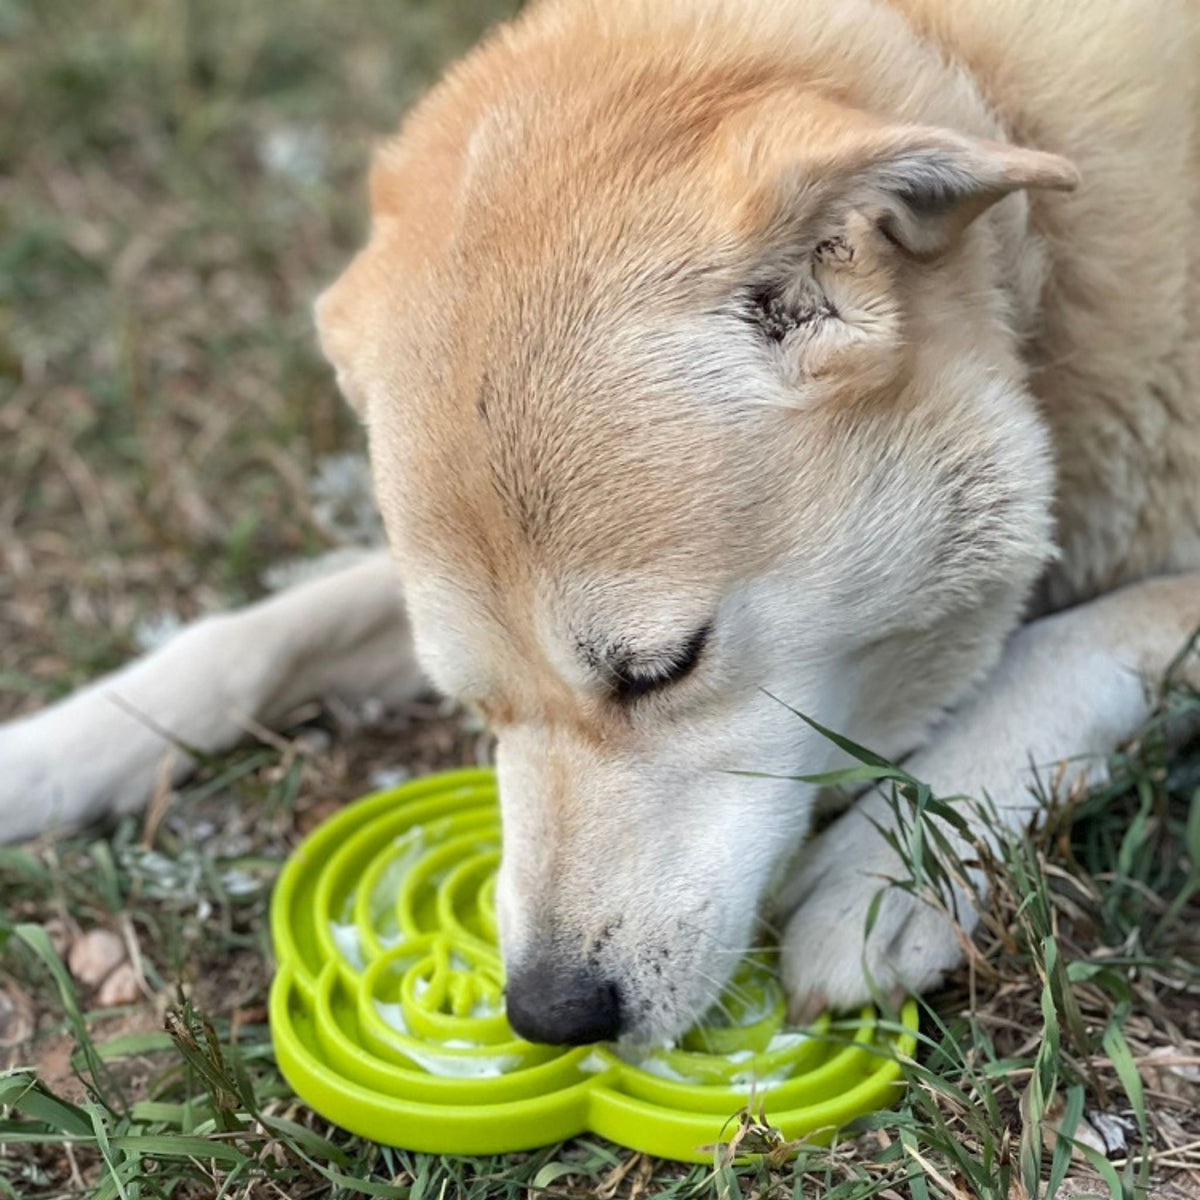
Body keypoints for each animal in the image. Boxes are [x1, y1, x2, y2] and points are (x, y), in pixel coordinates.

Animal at [2, 0, 1200, 1046]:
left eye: (662, 669)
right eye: (471, 705)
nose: (547, 1017)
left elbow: (1065, 644)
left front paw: (888, 862)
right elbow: (259, 634)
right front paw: (51, 751)